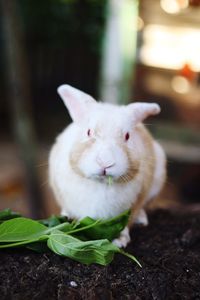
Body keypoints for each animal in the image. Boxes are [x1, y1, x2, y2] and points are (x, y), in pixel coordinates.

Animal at [48, 84, 166, 246]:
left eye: (127, 136)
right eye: (89, 132)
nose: (106, 162)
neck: (101, 184)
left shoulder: (133, 206)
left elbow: (126, 225)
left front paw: (120, 241)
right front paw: (67, 221)